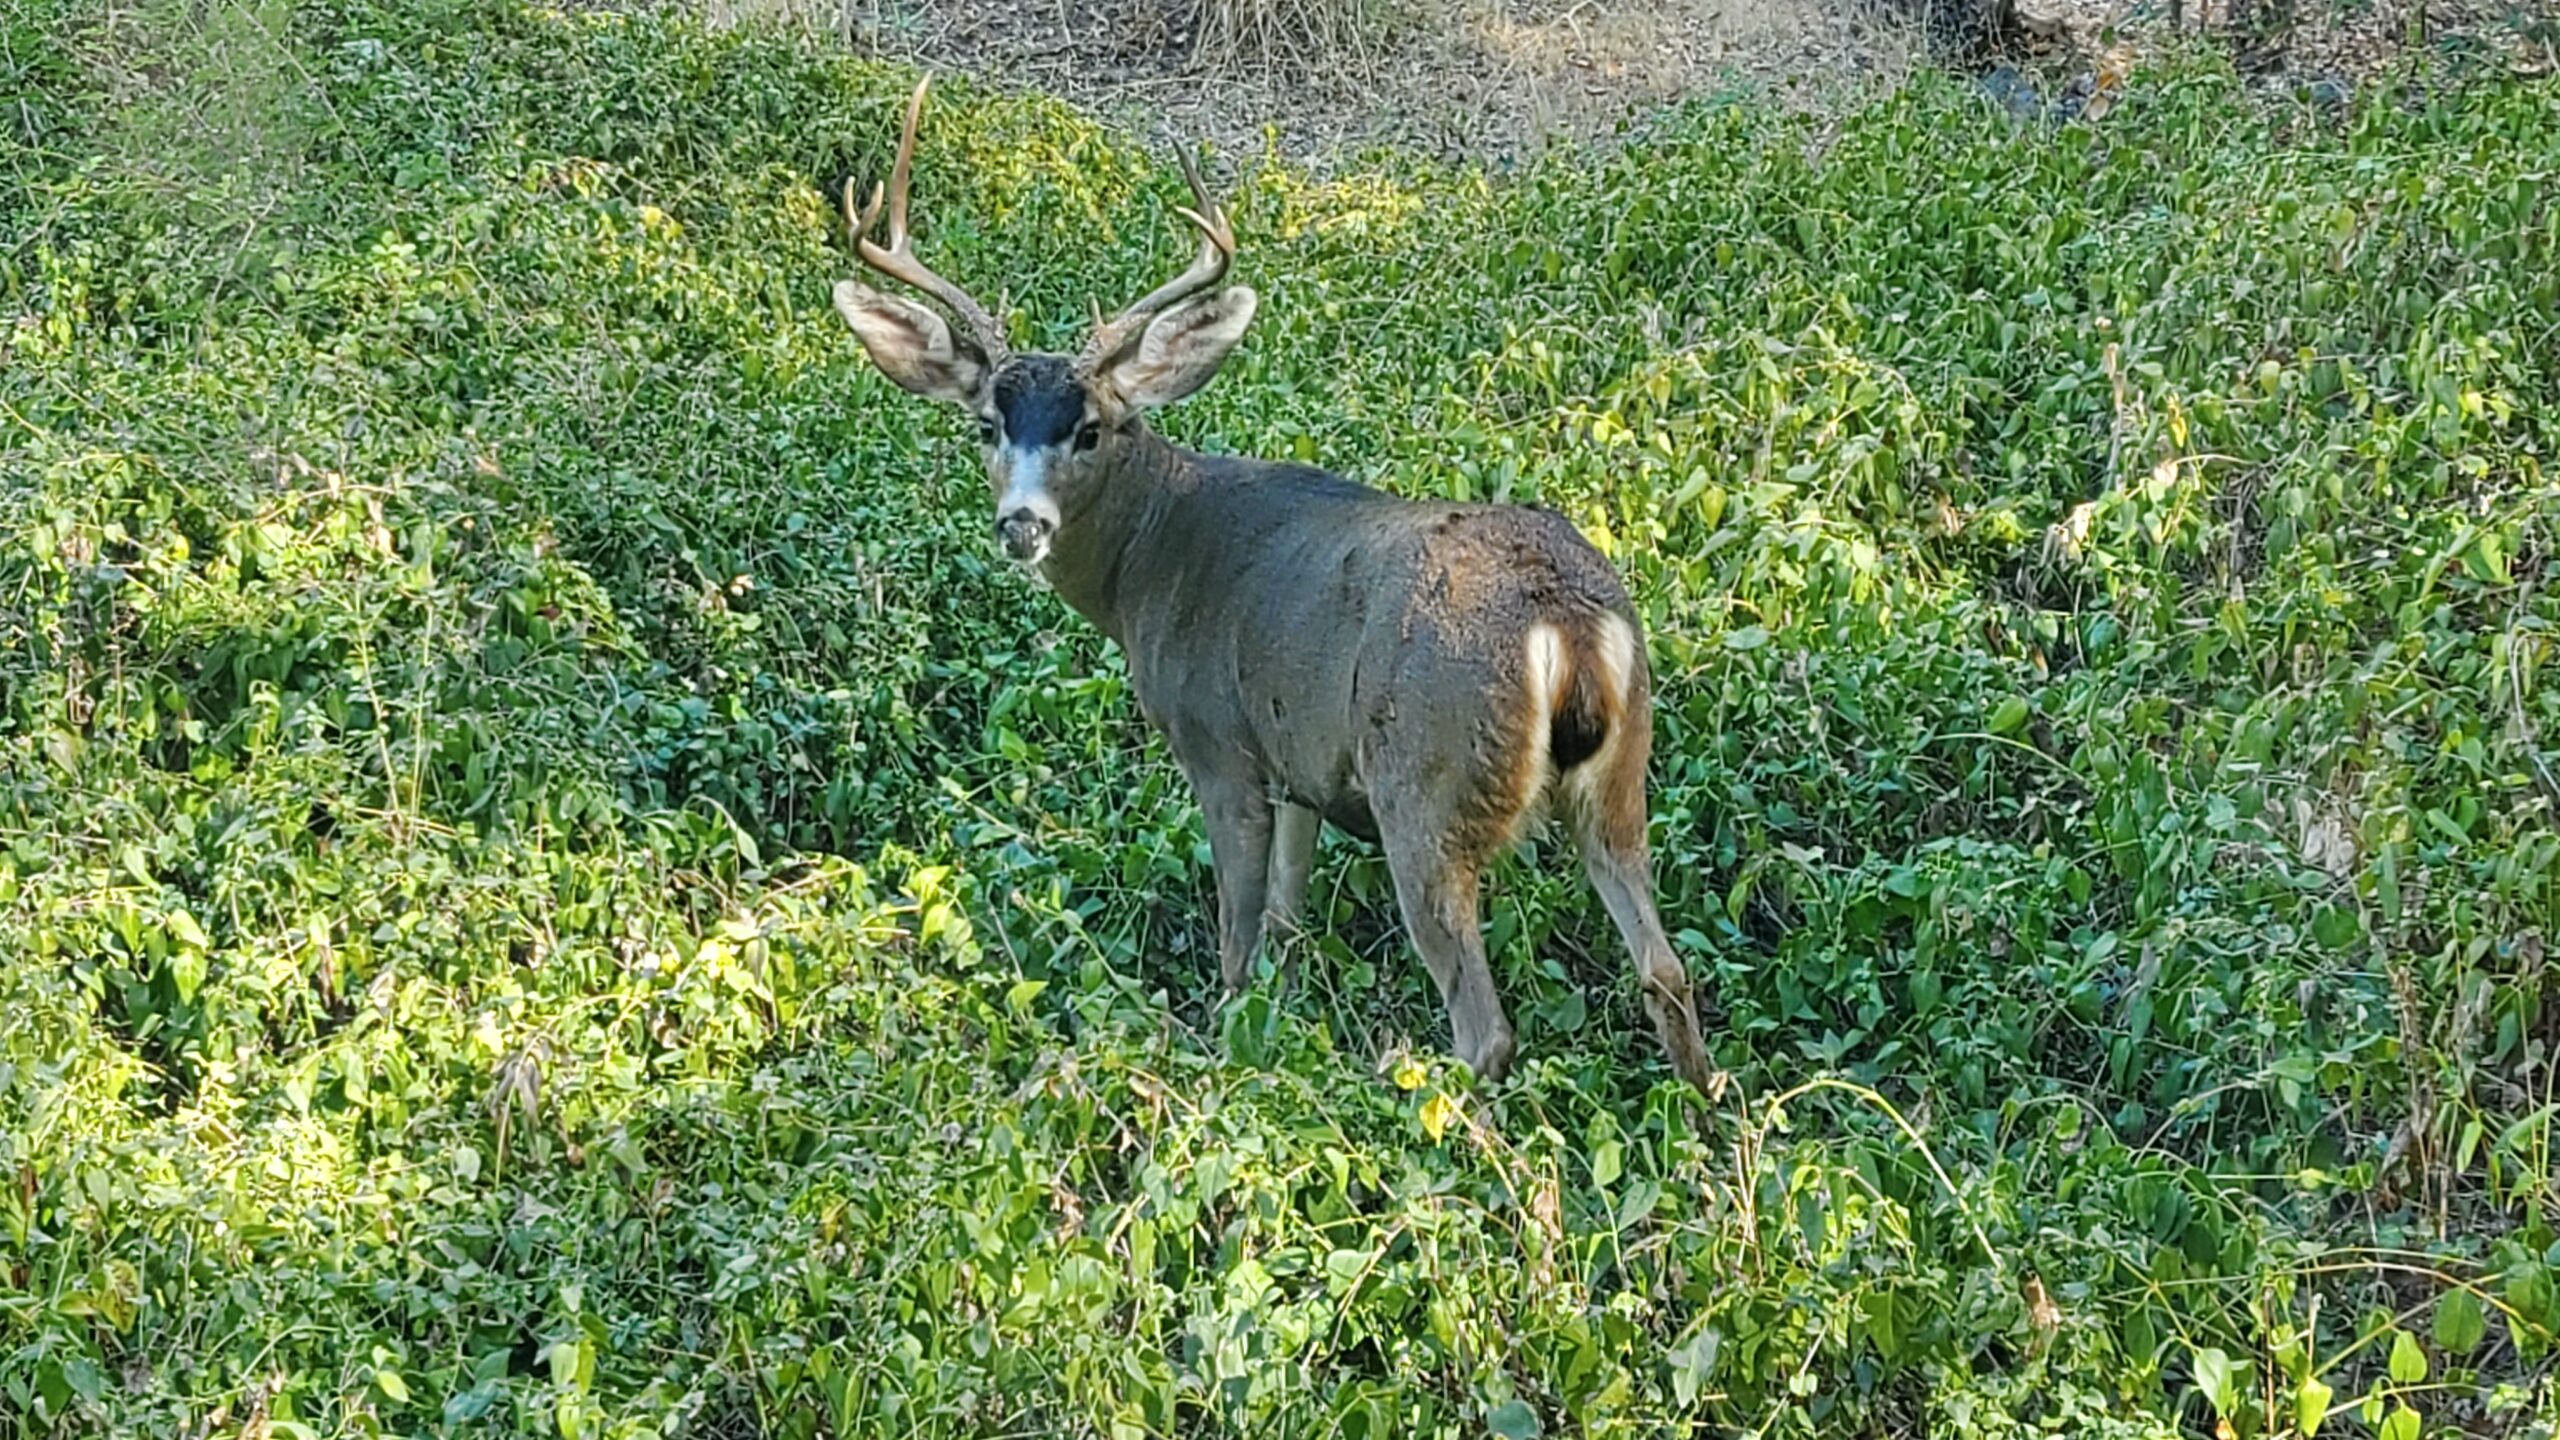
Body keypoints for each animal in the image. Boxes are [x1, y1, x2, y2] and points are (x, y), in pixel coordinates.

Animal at [829, 73, 1720, 1091]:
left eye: (1091, 428)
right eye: (985, 424)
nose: (1023, 524)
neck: (1153, 562)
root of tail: (1563, 619)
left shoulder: (1220, 744)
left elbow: (1238, 938)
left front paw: (1224, 1051)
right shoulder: (1301, 767)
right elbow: (1290, 927)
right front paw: (1282, 1032)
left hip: (1425, 785)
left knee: (1485, 1024)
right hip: (1620, 780)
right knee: (1666, 969)